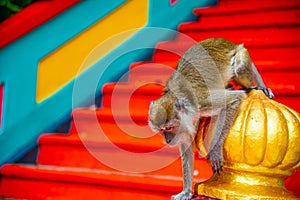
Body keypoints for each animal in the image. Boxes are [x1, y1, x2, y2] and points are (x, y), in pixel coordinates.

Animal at [149, 38, 274, 200]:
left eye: (169, 128)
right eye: (161, 130)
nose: (167, 139)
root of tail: (230, 43)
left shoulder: (201, 102)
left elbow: (234, 99)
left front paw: (215, 150)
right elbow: (186, 143)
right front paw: (186, 192)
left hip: (241, 54)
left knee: (240, 69)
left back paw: (254, 87)